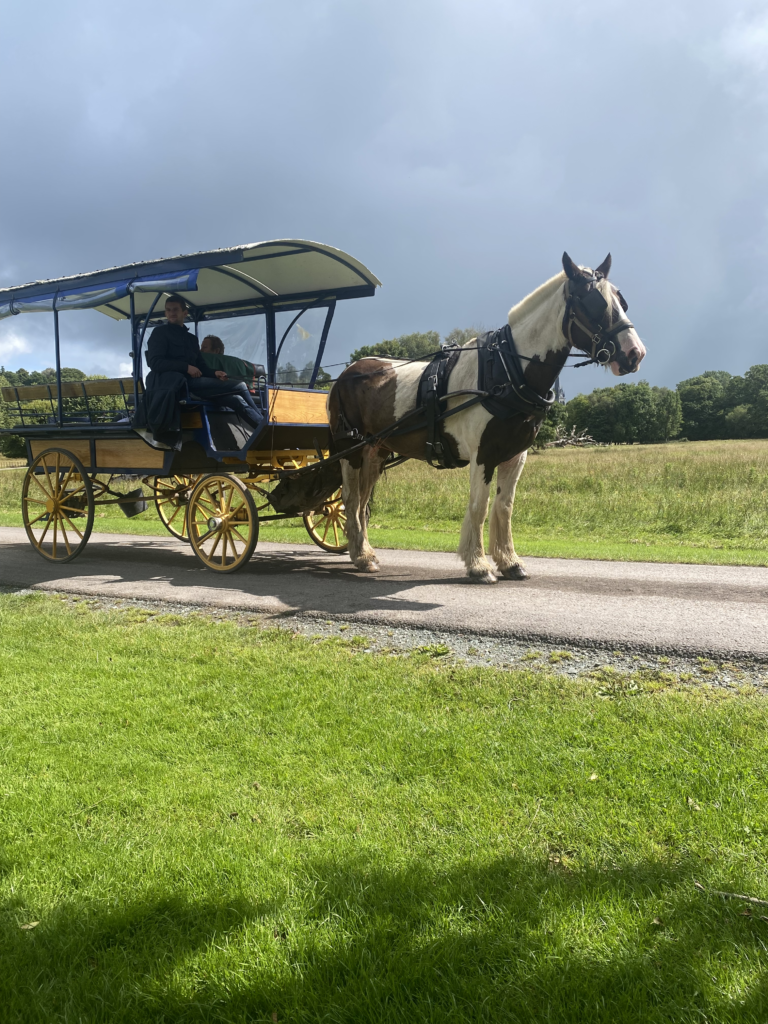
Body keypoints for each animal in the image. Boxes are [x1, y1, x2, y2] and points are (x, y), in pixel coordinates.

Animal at [327, 251, 647, 581]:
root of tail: (348, 373)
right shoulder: (483, 455)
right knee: (351, 500)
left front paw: (510, 562)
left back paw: (366, 554)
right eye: (594, 303)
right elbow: (479, 506)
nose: (635, 353)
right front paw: (478, 564)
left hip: (375, 452)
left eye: (621, 301)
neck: (507, 370)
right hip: (349, 449)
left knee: (362, 502)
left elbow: (504, 507)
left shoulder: (515, 455)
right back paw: (360, 556)